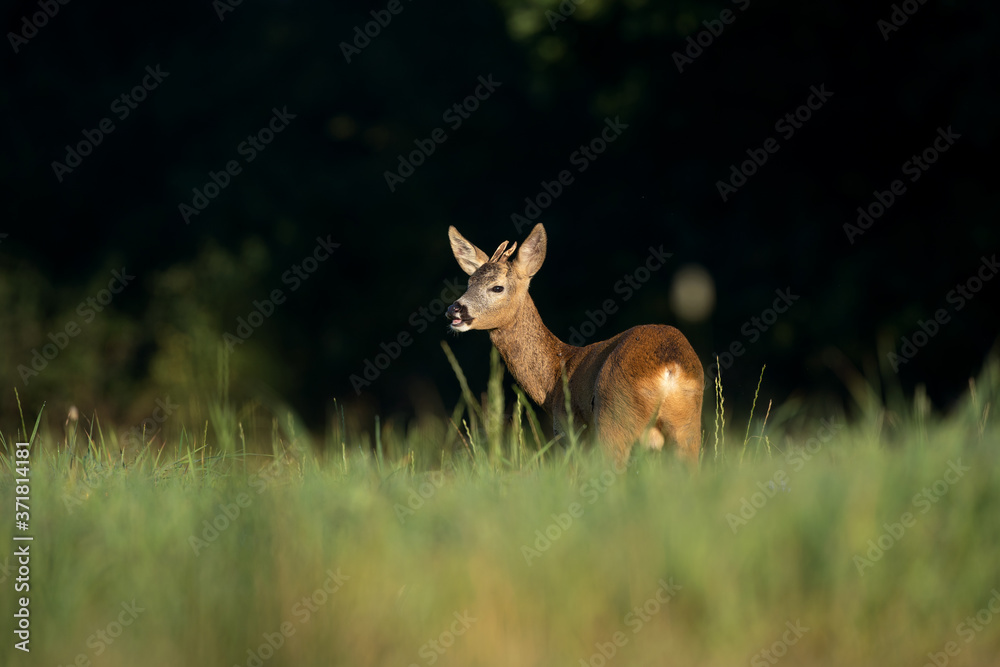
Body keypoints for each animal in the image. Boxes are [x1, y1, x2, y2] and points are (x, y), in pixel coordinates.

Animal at [446, 224, 704, 464]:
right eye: (469, 283)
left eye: (497, 287)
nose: (454, 309)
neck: (554, 379)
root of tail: (670, 369)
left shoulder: (571, 434)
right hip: (687, 429)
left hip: (614, 419)